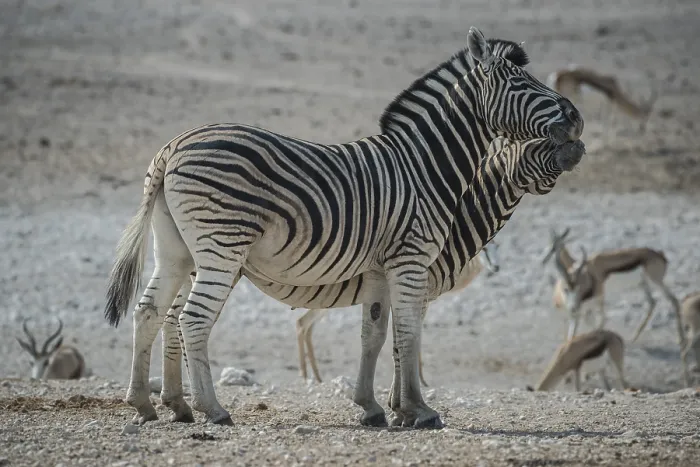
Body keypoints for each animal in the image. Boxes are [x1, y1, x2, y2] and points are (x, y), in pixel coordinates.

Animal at [105, 27, 583, 428]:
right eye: (522, 83)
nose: (578, 124)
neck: (427, 168)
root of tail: (172, 146)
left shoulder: (377, 271)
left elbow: (375, 336)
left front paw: (377, 408)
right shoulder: (413, 264)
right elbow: (408, 336)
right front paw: (418, 409)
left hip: (177, 251)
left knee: (151, 312)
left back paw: (151, 403)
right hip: (221, 247)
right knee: (191, 319)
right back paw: (212, 409)